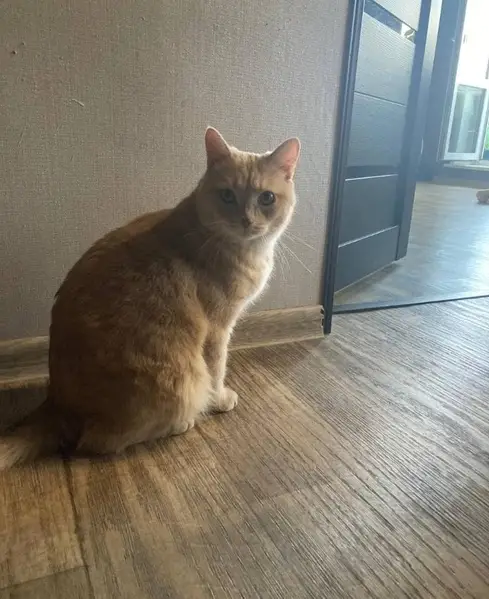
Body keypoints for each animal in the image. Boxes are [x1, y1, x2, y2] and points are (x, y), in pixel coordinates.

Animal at [0, 127, 300, 469]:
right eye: (227, 195)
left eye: (267, 198)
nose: (246, 221)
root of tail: (58, 401)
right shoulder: (217, 329)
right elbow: (217, 370)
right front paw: (220, 399)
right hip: (177, 380)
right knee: (98, 442)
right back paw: (182, 423)